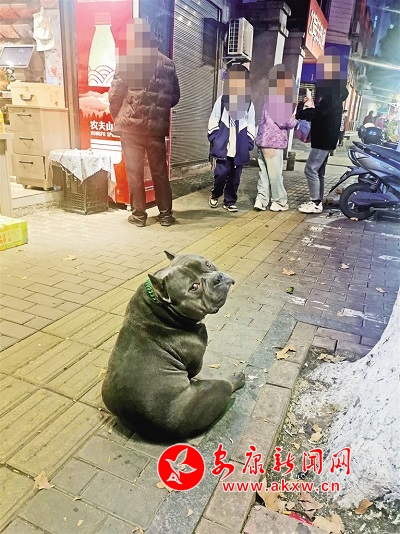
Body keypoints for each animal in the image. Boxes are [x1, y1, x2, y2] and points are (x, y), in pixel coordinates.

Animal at [101, 252, 245, 440]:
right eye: (194, 287)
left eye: (207, 264)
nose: (218, 278)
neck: (161, 307)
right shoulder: (195, 362)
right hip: (217, 389)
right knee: (226, 385)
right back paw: (235, 379)